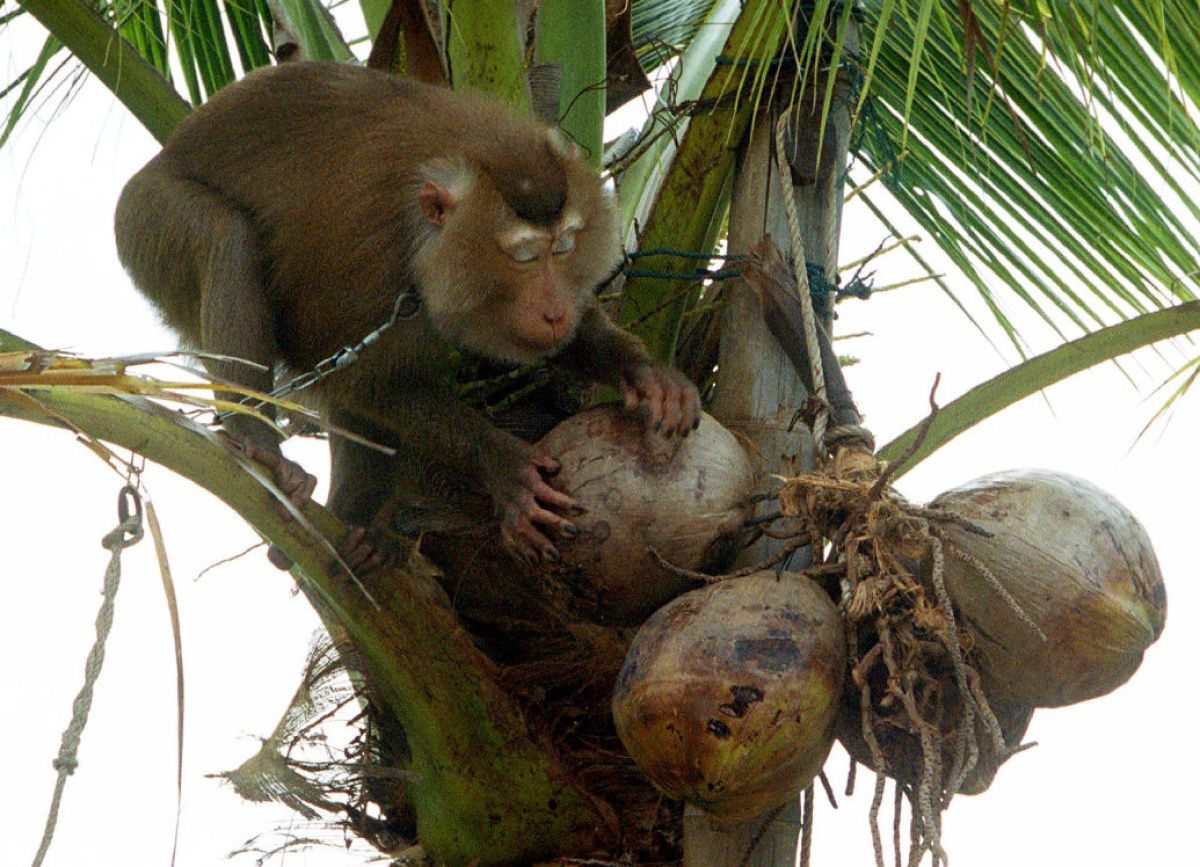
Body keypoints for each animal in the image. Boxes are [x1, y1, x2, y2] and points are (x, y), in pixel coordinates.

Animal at [114, 60, 700, 566]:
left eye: (564, 248)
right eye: (524, 257)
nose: (553, 307)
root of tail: (164, 152)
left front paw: (643, 373)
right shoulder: (367, 257)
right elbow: (358, 379)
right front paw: (502, 461)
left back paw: (358, 527)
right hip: (144, 217)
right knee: (224, 235)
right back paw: (255, 436)